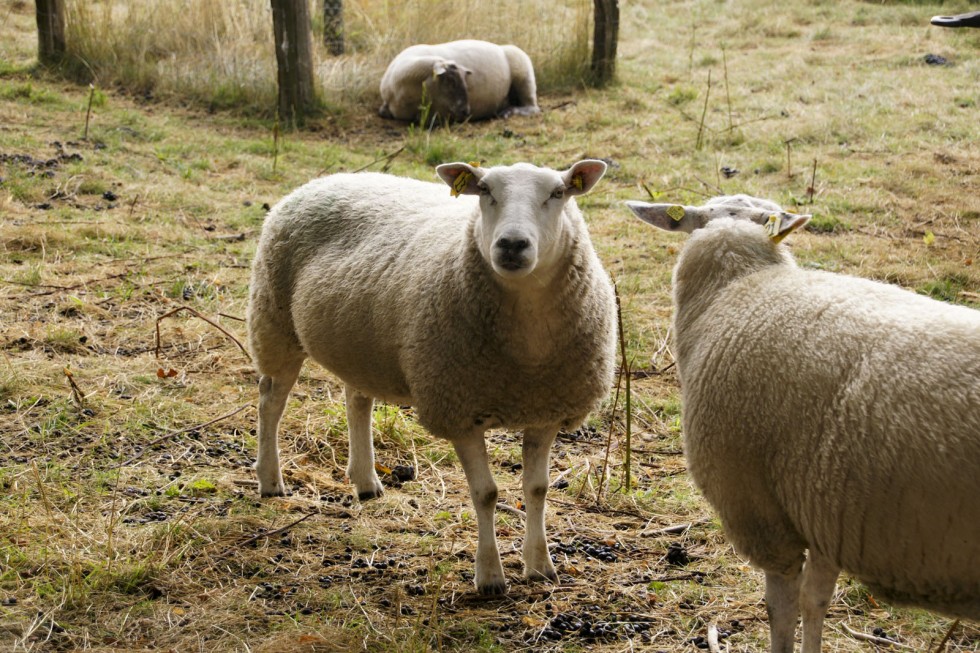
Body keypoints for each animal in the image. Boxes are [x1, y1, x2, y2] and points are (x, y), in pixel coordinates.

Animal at [249, 159, 616, 596]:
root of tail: (328, 178)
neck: (526, 354)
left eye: (558, 193)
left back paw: (366, 480)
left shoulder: (547, 409)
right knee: (271, 402)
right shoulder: (457, 409)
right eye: (485, 191)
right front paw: (489, 577)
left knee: (357, 400)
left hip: (360, 347)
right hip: (275, 320)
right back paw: (270, 480)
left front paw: (540, 566)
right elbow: (486, 493)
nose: (512, 245)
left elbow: (536, 489)